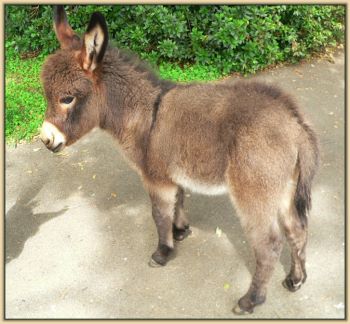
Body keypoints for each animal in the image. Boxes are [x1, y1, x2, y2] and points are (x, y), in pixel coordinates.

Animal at [39, 5, 318, 314]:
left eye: (67, 99)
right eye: (47, 95)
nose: (46, 140)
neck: (144, 114)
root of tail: (296, 125)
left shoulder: (155, 178)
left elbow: (159, 215)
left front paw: (163, 252)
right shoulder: (173, 174)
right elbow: (178, 202)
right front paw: (181, 230)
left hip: (254, 193)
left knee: (269, 245)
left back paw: (250, 300)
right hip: (285, 189)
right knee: (297, 230)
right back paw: (296, 279)